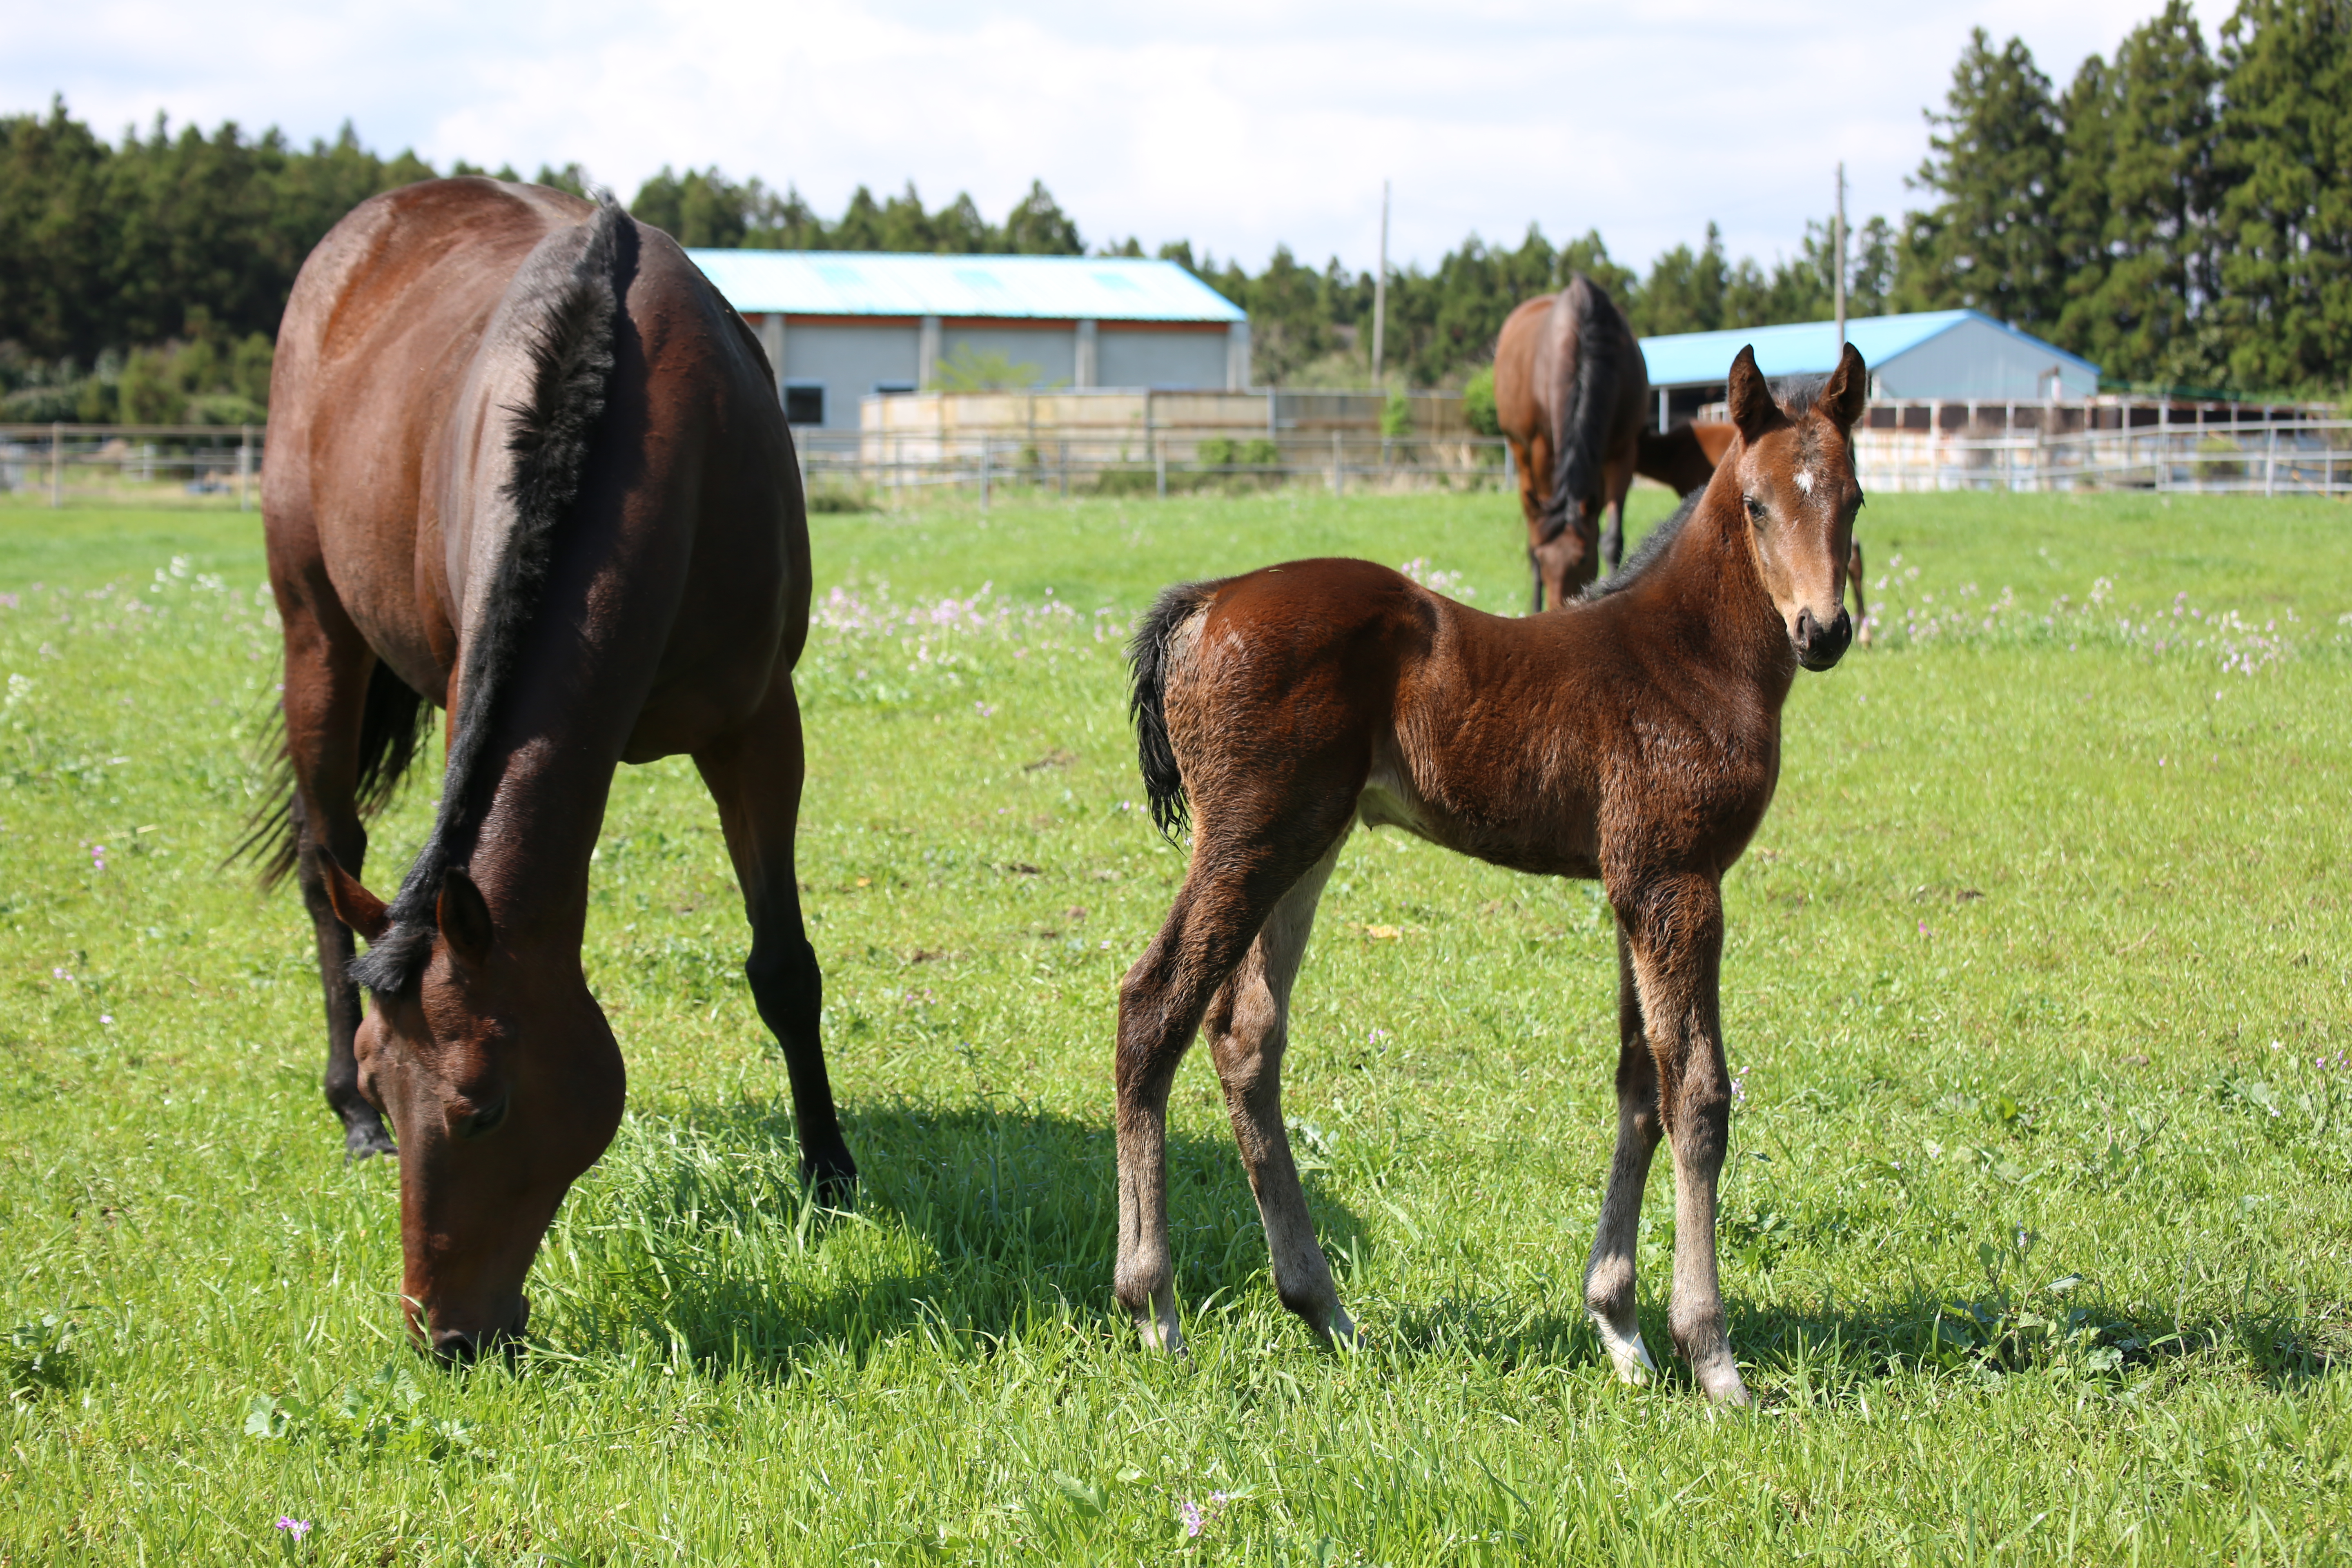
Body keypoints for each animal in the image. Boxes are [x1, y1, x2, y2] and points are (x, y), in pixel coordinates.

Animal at [250, 181, 856, 1363]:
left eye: (484, 1105)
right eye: (395, 1084)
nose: (444, 1337)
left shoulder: (761, 725)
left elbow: (784, 966)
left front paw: (830, 1174)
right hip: (318, 638)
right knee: (324, 861)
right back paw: (342, 1115)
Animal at [1496, 276, 1646, 606]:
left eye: (1583, 560)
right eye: (1544, 560)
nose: (1558, 610)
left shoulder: (1624, 452)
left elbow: (1612, 538)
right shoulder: (1543, 450)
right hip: (1521, 452)